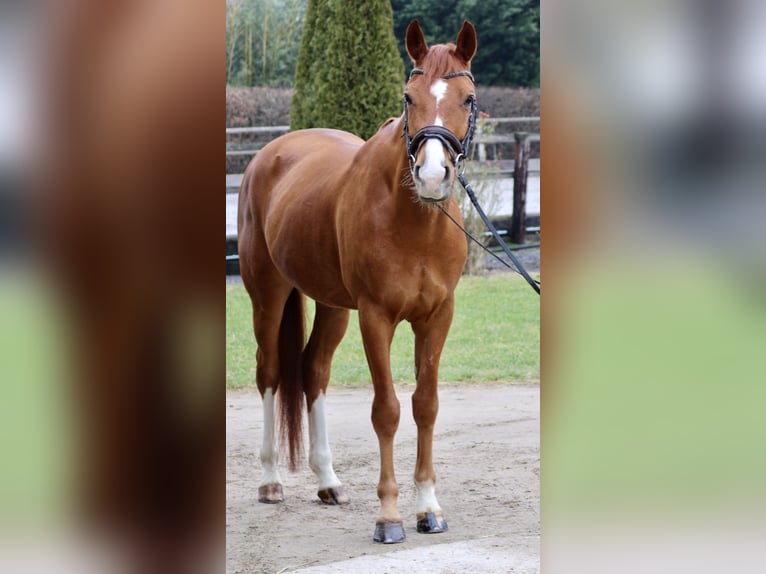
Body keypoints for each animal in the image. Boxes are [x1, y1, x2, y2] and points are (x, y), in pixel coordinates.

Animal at [240, 21, 480, 544]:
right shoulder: (376, 316)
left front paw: (428, 508)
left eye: (469, 98)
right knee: (270, 372)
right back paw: (269, 481)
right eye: (408, 97)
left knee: (313, 371)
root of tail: (268, 154)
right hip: (267, 295)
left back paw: (328, 481)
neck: (413, 219)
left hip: (332, 306)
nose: (433, 175)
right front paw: (388, 516)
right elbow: (386, 410)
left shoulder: (438, 316)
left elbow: (425, 405)